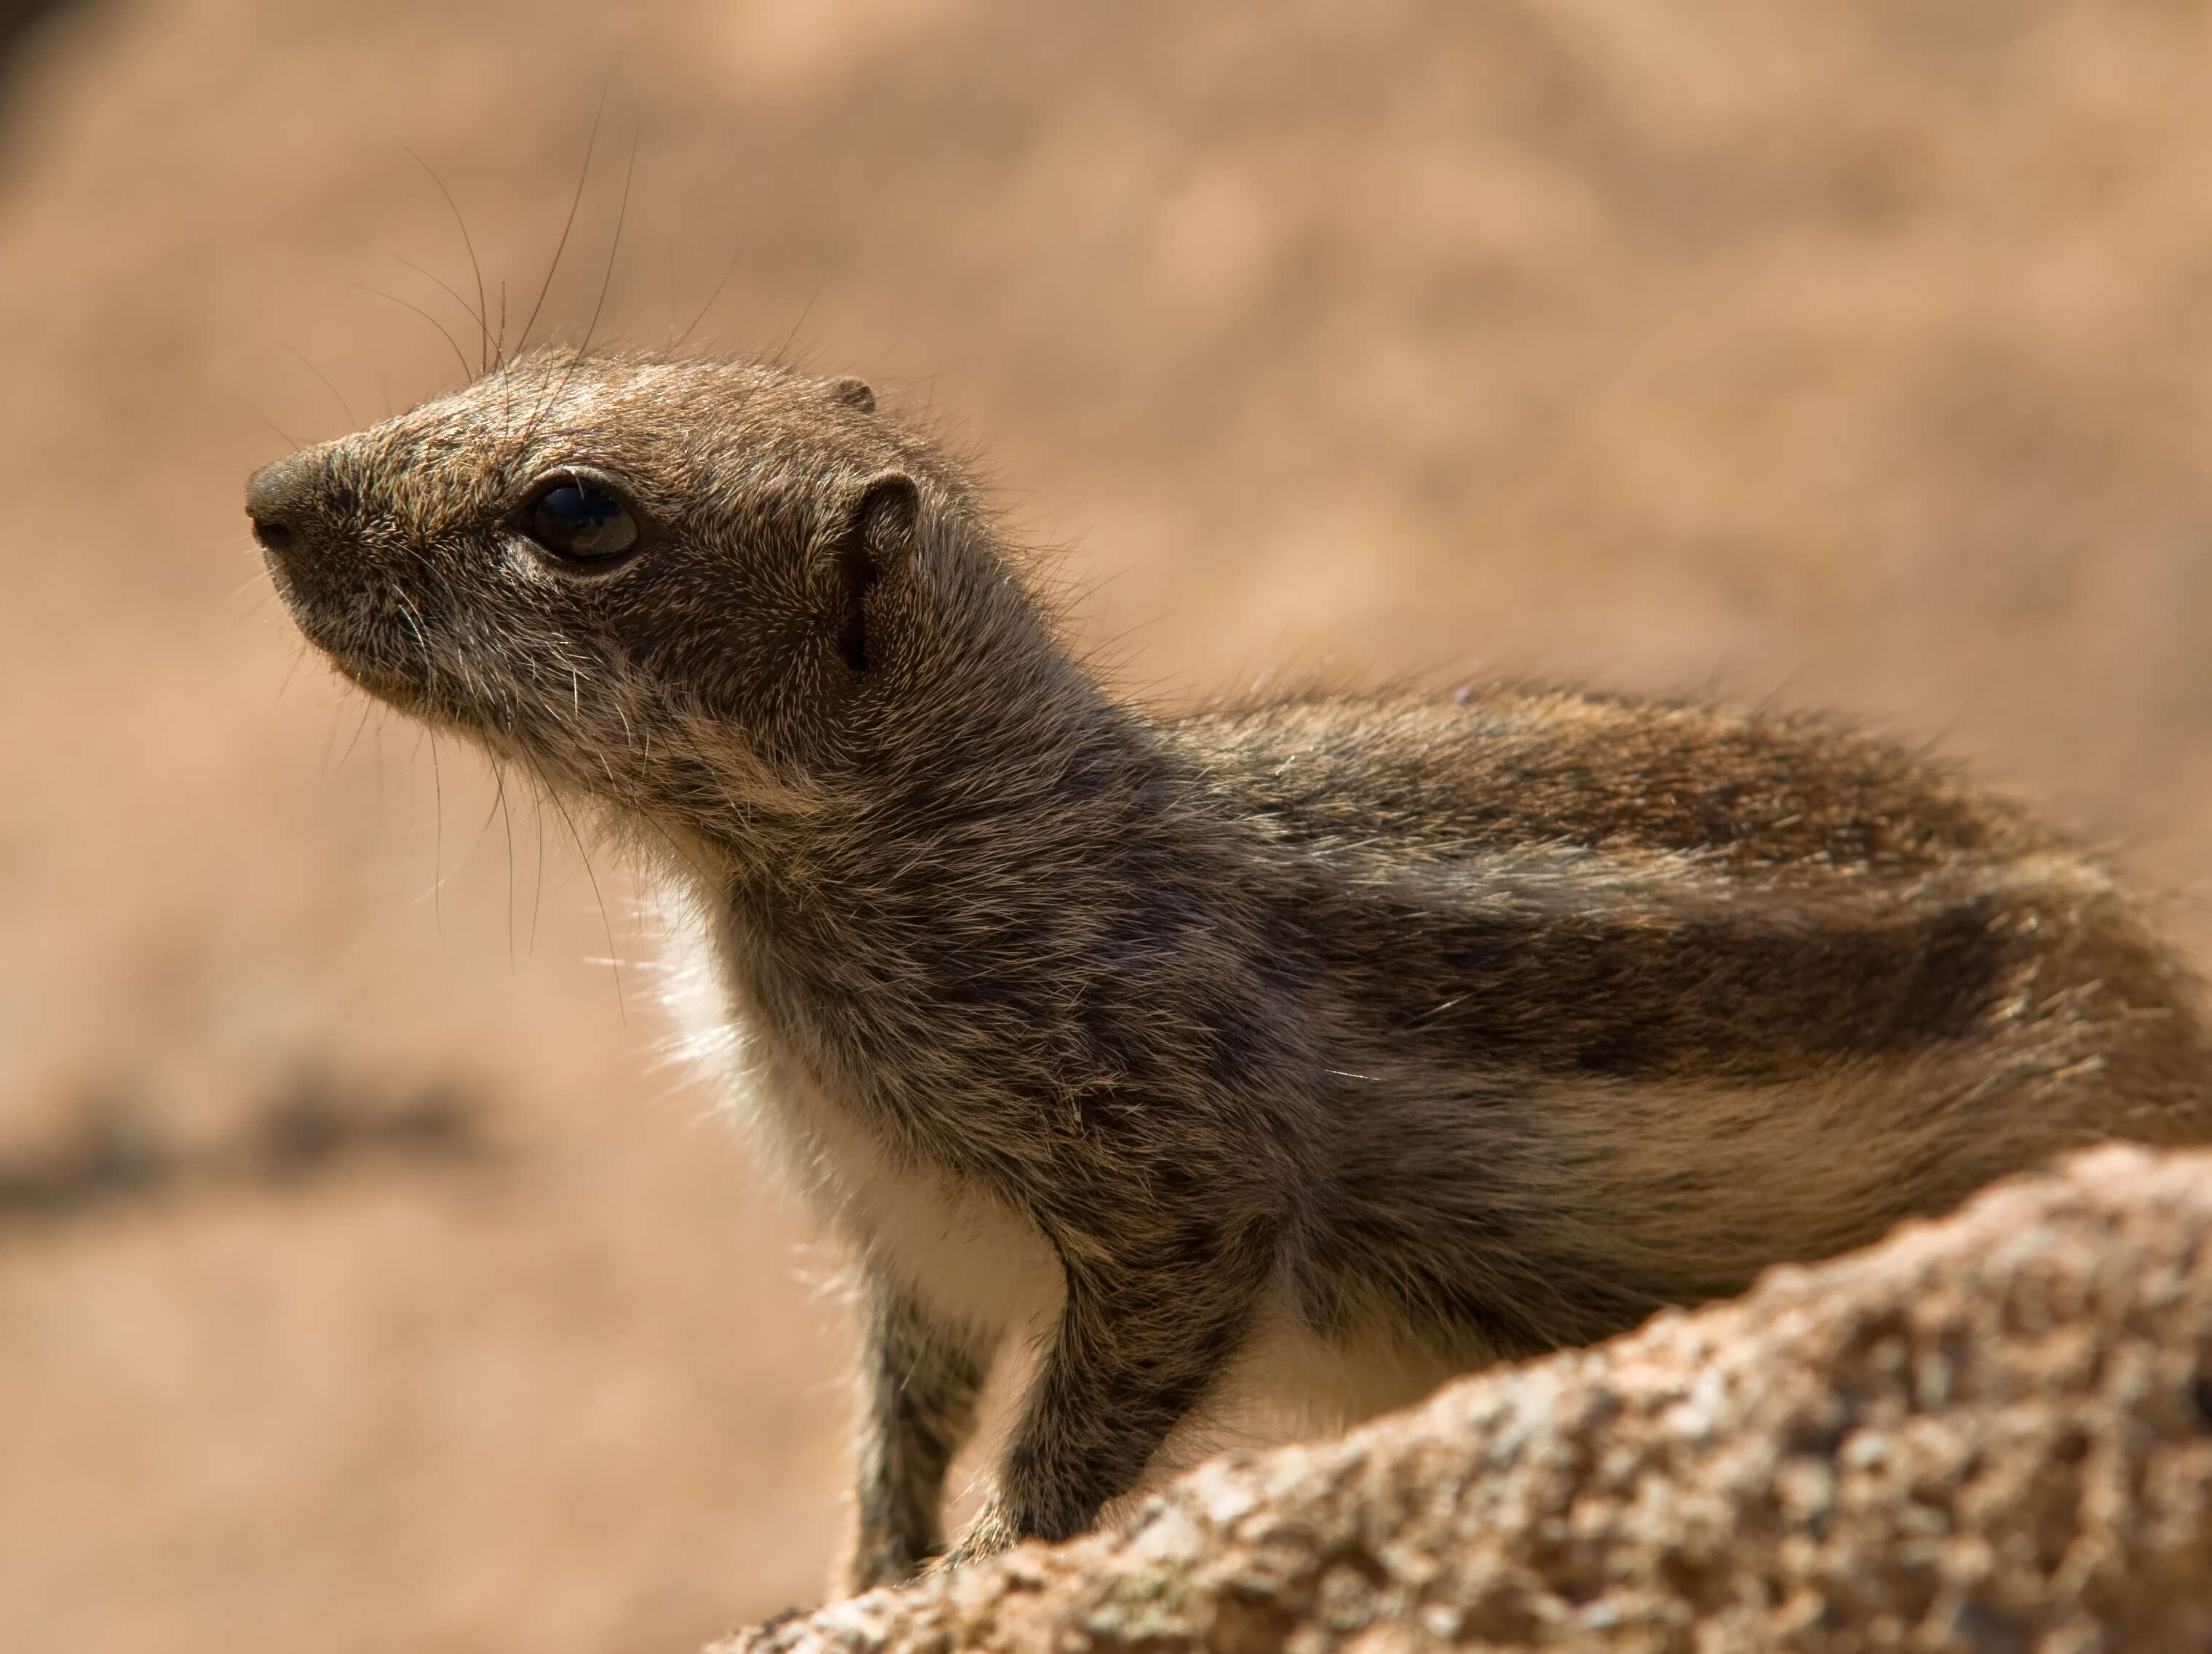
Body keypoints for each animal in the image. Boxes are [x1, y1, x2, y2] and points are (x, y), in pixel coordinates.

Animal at [246, 351, 2212, 1591]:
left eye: (576, 515)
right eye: (536, 356)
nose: (267, 494)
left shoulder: (1168, 1160)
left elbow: (1077, 1418)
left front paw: (980, 1568)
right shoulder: (912, 1239)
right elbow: (897, 1422)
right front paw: (854, 1574)